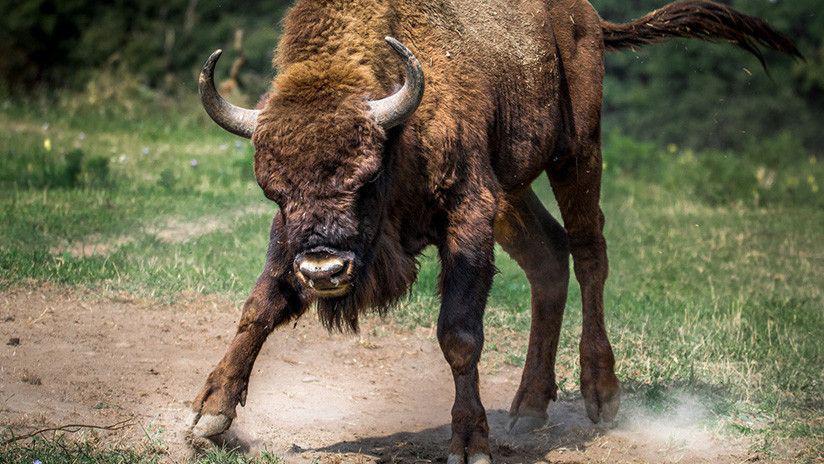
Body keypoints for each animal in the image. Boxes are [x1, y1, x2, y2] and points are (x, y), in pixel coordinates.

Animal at [188, 1, 800, 462]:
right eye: (273, 190)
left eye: (367, 177)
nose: (323, 269)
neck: (398, 124)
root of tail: (586, 17)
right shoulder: (291, 238)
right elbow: (260, 304)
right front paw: (208, 418)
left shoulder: (469, 212)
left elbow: (459, 333)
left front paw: (470, 443)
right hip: (513, 189)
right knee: (548, 258)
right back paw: (529, 409)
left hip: (577, 152)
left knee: (589, 253)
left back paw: (601, 396)